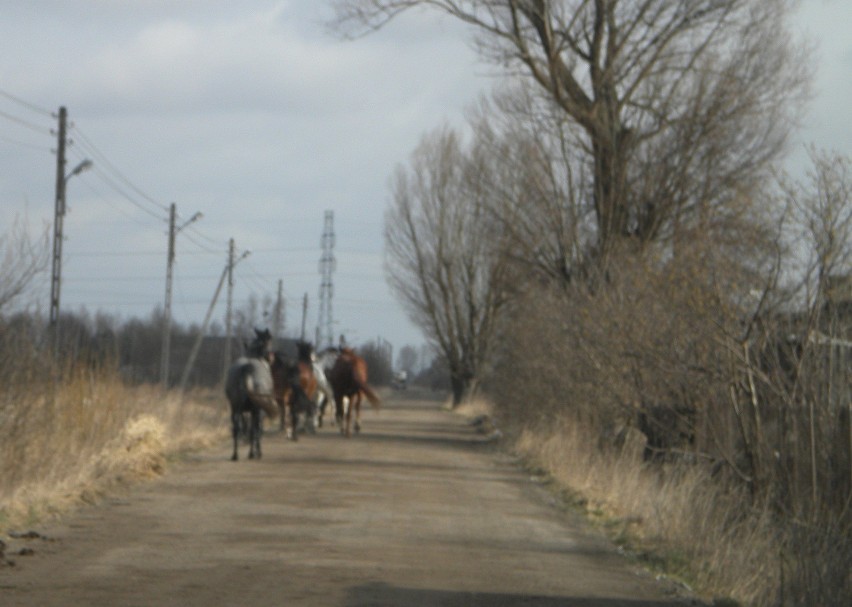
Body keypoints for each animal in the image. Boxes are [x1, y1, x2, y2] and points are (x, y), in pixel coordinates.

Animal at [225, 328, 278, 460]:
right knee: (254, 429)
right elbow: (257, 429)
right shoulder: (259, 410)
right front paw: (258, 451)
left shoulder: (242, 410)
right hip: (256, 409)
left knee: (236, 429)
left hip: (235, 408)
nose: (272, 358)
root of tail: (246, 368)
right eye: (270, 341)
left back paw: (235, 455)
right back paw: (253, 453)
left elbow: (245, 426)